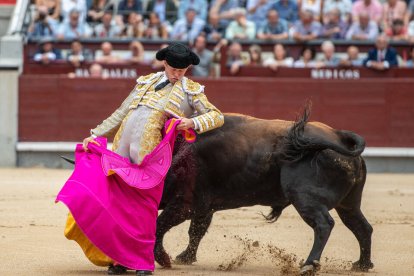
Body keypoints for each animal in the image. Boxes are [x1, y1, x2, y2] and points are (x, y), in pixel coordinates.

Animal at [154, 109, 374, 274]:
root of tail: (338, 136)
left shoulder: (186, 204)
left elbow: (160, 225)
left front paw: (164, 258)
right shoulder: (203, 207)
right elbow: (196, 231)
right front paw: (185, 257)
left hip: (305, 198)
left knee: (323, 224)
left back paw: (309, 265)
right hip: (349, 204)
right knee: (361, 226)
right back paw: (362, 265)